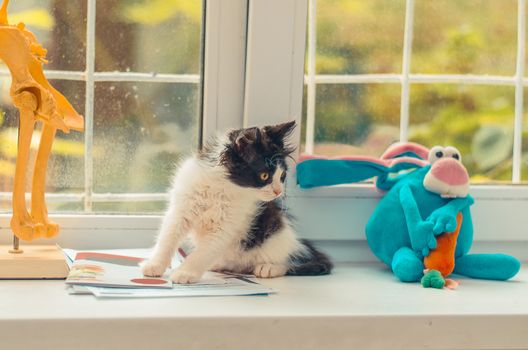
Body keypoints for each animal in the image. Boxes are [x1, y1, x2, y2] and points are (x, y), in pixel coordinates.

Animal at [140, 120, 330, 284]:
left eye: (282, 176)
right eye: (264, 176)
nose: (278, 191)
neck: (222, 187)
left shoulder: (227, 225)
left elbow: (203, 251)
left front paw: (186, 272)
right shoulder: (181, 210)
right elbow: (167, 238)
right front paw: (155, 264)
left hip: (277, 238)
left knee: (291, 261)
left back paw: (269, 267)